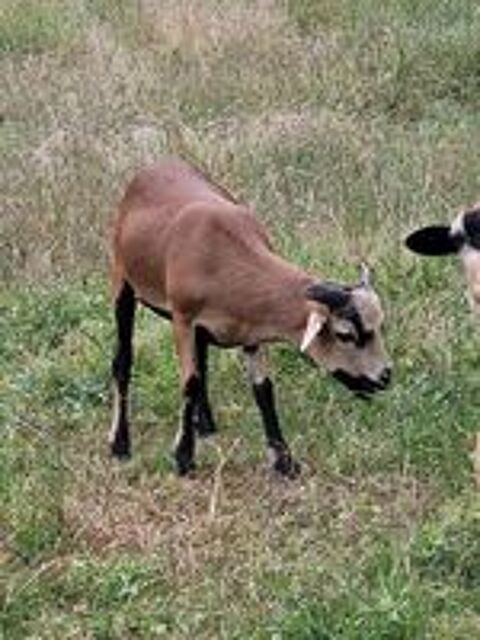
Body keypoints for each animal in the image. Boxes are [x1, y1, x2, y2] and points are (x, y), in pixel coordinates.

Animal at [108, 157, 391, 477]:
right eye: (346, 334)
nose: (385, 377)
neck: (223, 255)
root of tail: (155, 166)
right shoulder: (182, 318)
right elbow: (189, 383)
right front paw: (183, 458)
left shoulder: (251, 328)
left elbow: (263, 389)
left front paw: (284, 461)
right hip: (122, 282)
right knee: (123, 361)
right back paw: (120, 444)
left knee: (202, 361)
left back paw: (205, 425)